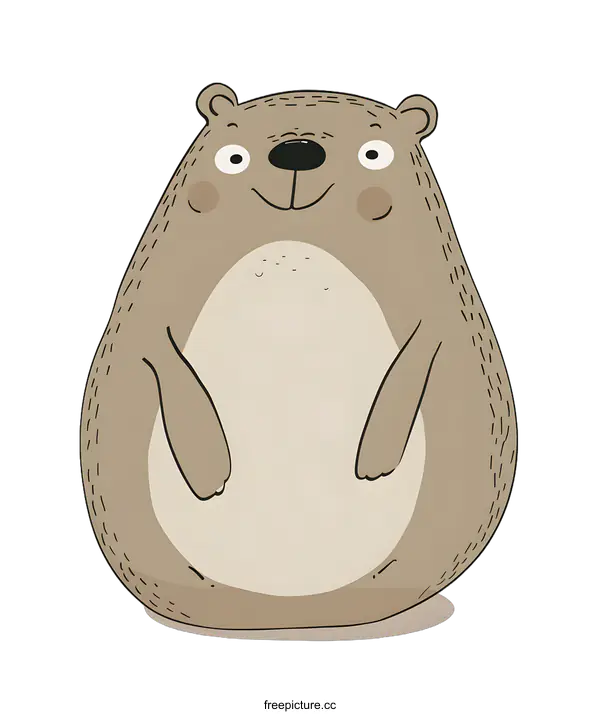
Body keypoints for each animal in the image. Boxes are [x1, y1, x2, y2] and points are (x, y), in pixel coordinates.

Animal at [80, 82, 519, 640]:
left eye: (375, 154)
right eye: (232, 157)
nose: (297, 153)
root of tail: (293, 612)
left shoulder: (435, 307)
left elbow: (418, 361)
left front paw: (374, 463)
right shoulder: (153, 308)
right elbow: (165, 363)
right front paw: (211, 476)